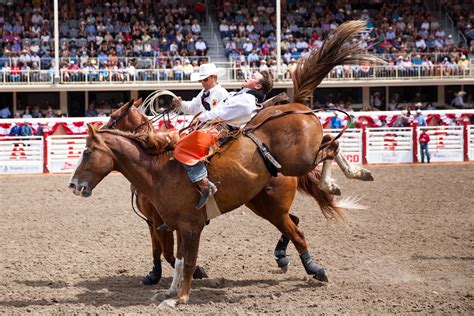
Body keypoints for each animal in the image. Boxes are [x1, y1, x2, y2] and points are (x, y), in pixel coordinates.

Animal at [70, 21, 382, 308]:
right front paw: (165, 289)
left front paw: (181, 294)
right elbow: (174, 257)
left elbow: (184, 258)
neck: (159, 170)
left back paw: (347, 182)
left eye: (87, 152)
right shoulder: (167, 222)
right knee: (298, 211)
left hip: (298, 165)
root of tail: (298, 106)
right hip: (265, 201)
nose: (74, 185)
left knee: (330, 149)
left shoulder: (187, 225)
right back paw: (289, 255)